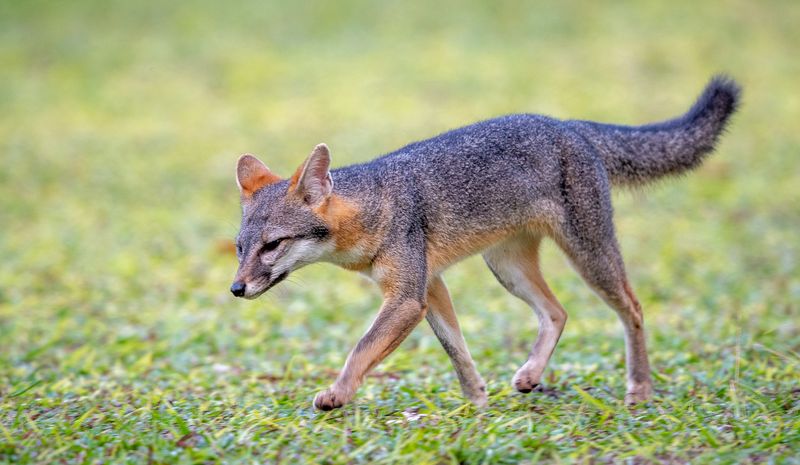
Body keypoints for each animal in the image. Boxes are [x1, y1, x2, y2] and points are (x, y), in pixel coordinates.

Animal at [230, 76, 741, 410]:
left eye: (272, 246)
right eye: (240, 248)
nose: (236, 289)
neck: (374, 204)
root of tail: (568, 124)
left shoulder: (407, 297)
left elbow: (361, 347)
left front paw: (337, 394)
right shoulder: (430, 286)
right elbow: (457, 349)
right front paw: (476, 400)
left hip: (589, 257)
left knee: (632, 308)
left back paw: (640, 388)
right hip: (508, 270)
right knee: (557, 312)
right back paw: (532, 375)